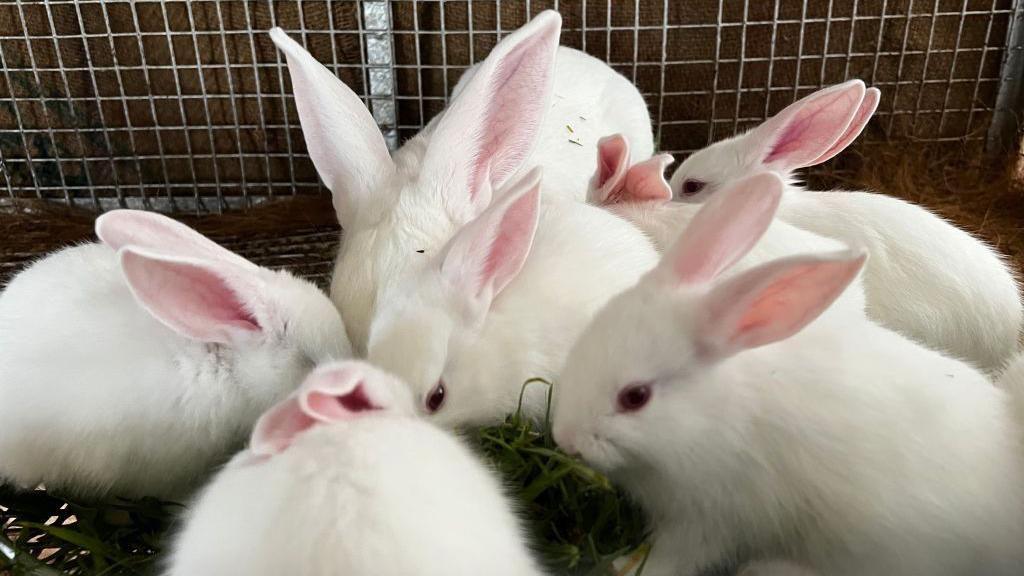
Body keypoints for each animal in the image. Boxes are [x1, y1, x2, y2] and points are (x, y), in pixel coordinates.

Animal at [552, 168, 1024, 576]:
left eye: (635, 397)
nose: (565, 439)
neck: (716, 412)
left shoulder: (712, 516)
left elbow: (673, 557)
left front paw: (621, 565)